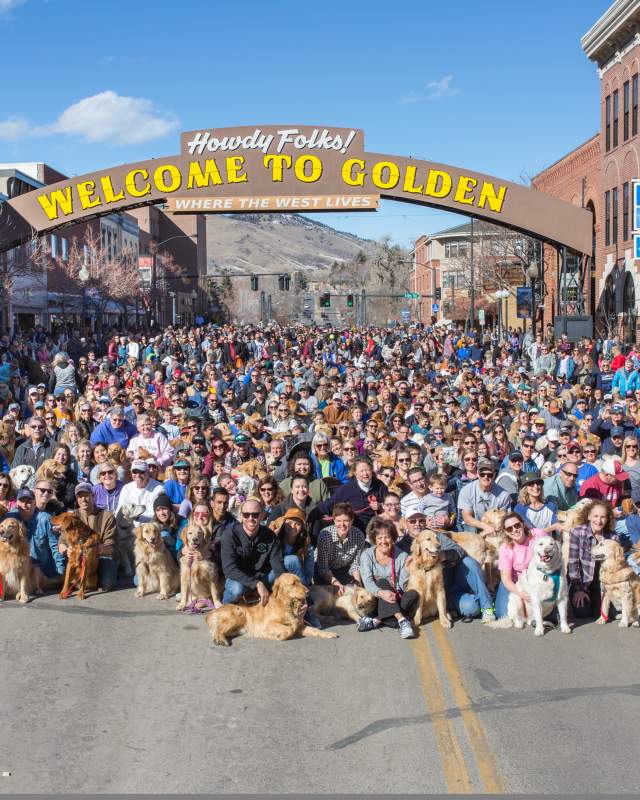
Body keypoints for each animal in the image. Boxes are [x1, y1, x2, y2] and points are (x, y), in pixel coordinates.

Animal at [206, 572, 340, 648]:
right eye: (293, 583)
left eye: (300, 581)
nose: (308, 592)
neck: (287, 605)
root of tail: (210, 613)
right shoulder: (268, 624)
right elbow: (288, 629)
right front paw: (276, 635)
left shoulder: (301, 626)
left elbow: (314, 630)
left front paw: (328, 634)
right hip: (240, 613)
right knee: (218, 629)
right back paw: (220, 639)